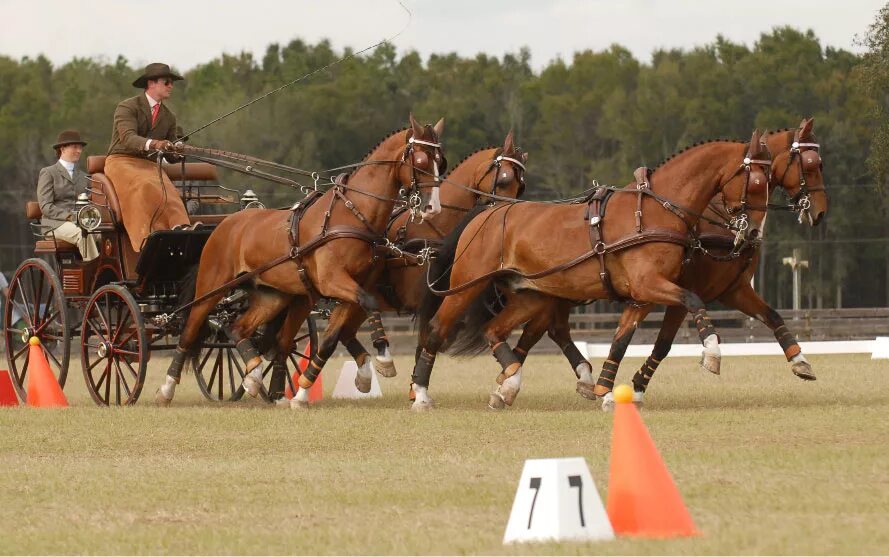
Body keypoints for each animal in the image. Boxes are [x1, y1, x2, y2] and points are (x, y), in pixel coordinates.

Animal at [156, 115, 448, 406]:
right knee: (191, 329)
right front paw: (384, 358)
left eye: (440, 162)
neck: (352, 214)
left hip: (273, 295)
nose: (433, 208)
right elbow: (369, 303)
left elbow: (331, 339)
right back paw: (167, 389)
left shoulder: (351, 288)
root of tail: (223, 224)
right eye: (421, 161)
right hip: (212, 287)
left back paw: (254, 376)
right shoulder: (333, 281)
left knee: (241, 328)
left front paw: (345, 381)